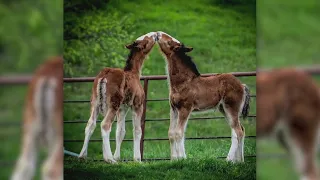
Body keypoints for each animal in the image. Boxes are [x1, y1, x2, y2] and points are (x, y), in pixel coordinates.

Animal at [156, 31, 251, 162]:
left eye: (170, 41)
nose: (158, 33)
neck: (184, 82)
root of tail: (242, 85)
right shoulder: (174, 109)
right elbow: (171, 133)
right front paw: (173, 160)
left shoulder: (185, 108)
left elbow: (179, 133)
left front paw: (182, 159)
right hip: (224, 109)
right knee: (238, 130)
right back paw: (239, 160)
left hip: (231, 107)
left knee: (238, 131)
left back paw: (229, 160)